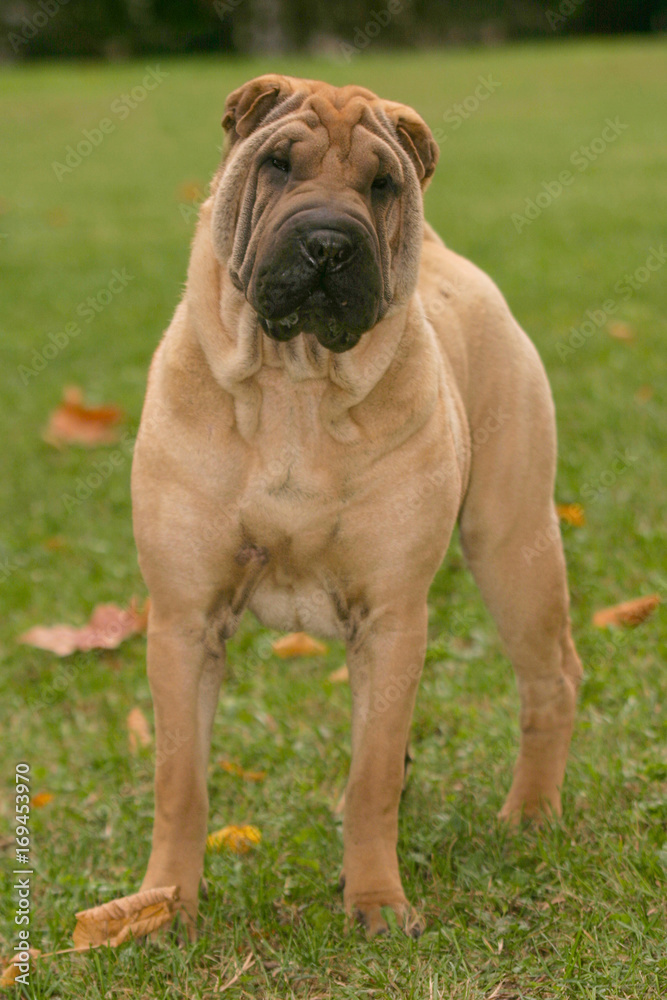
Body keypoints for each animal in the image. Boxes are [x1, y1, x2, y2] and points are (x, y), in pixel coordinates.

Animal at [133, 76, 580, 936]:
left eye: (381, 186)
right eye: (276, 164)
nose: (330, 244)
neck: (295, 384)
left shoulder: (390, 612)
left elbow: (369, 776)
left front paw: (375, 904)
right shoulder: (183, 619)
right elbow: (180, 782)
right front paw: (164, 905)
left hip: (513, 541)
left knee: (550, 680)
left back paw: (530, 816)